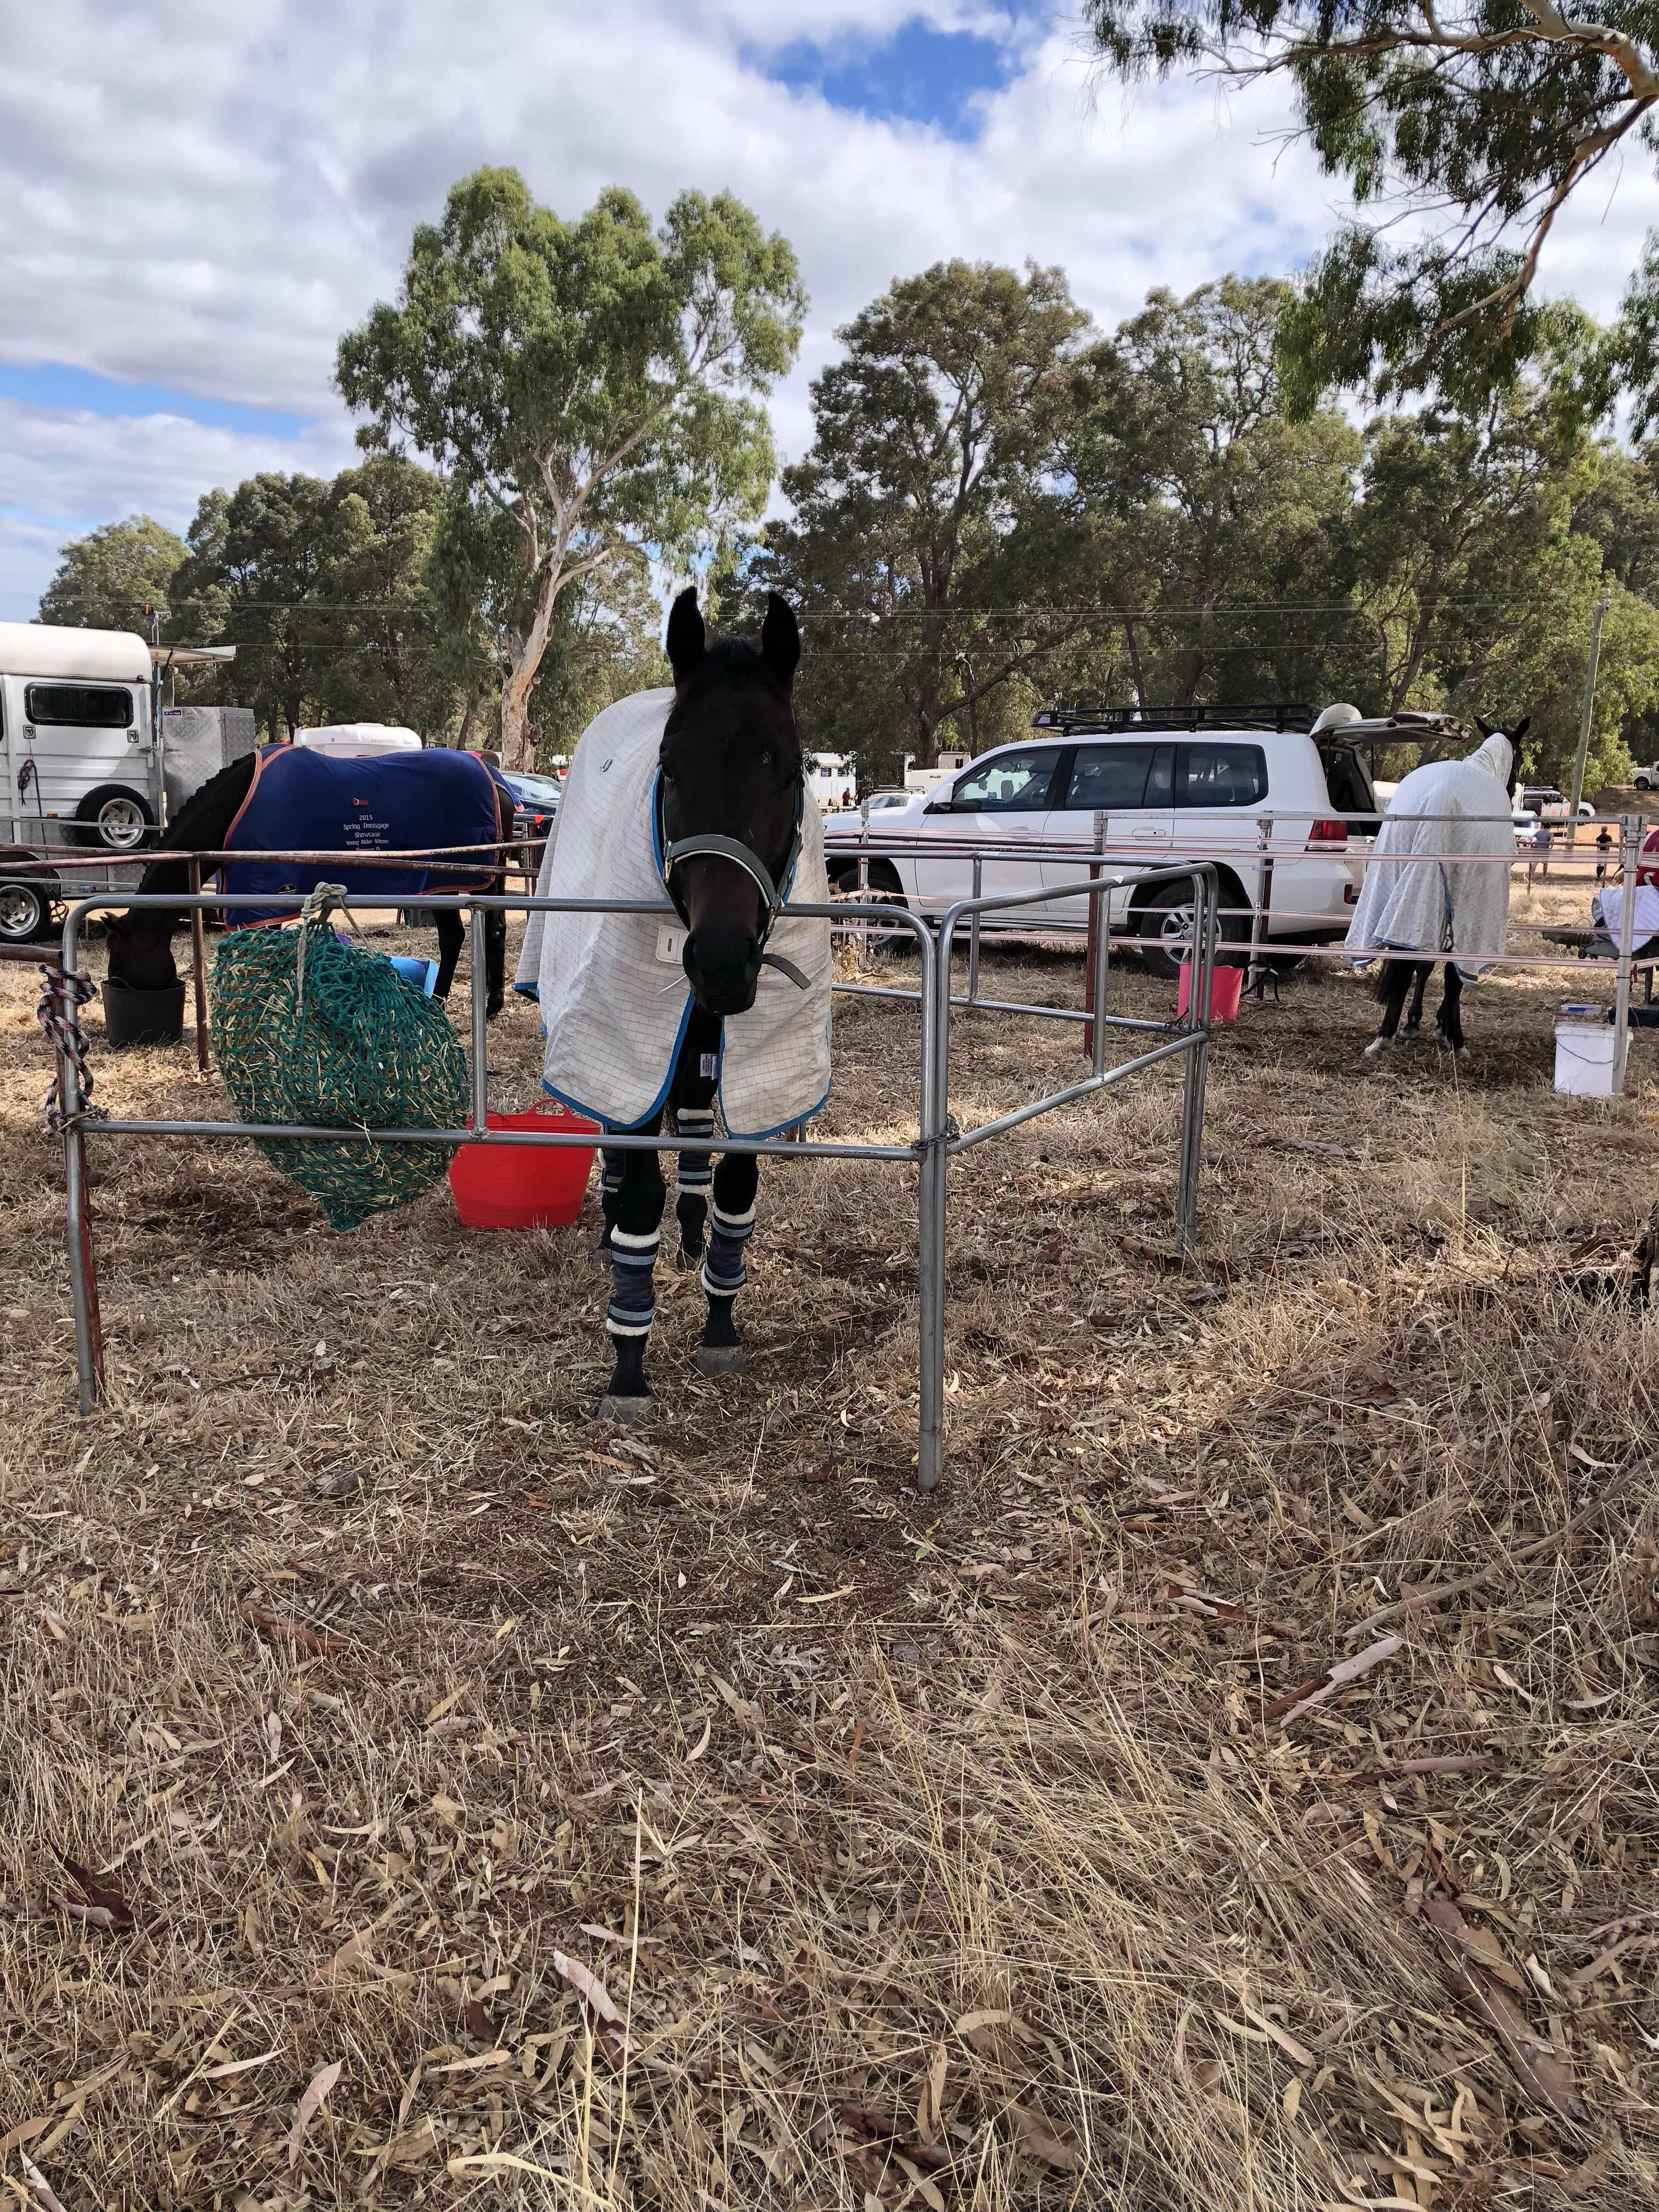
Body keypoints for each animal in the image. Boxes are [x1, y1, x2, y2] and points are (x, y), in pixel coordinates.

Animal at [102, 746, 513, 1015]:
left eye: (119, 963)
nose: (117, 988)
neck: (236, 806)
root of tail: (497, 782)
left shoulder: (266, 895)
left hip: (466, 879)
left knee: (476, 933)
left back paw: (477, 1006)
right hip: (445, 884)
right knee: (463, 934)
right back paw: (453, 1004)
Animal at [513, 586, 831, 1423]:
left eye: (788, 768)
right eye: (670, 767)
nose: (719, 963)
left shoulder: (743, 1058)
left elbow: (734, 1183)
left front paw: (719, 1320)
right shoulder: (631, 1039)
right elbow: (638, 1193)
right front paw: (629, 1364)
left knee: (688, 1123)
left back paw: (690, 1240)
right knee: (624, 1137)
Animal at [1347, 716, 1526, 1059]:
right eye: (1521, 759)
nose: (1513, 791)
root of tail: (1436, 800)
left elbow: (1424, 964)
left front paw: (1414, 1023)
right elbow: (1448, 971)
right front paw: (1444, 1028)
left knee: (1407, 959)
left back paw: (1383, 1037)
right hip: (1459, 895)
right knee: (1450, 970)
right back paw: (1454, 1041)